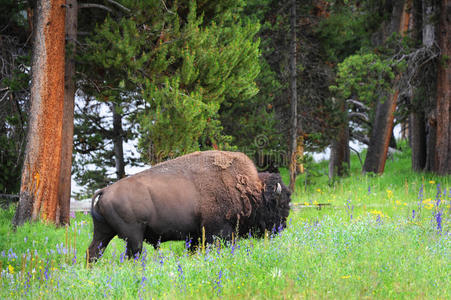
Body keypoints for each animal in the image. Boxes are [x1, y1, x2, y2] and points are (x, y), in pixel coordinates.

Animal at [86, 151, 292, 262]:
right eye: (280, 204)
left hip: (104, 232)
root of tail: (105, 191)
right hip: (133, 236)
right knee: (132, 255)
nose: (282, 227)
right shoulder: (217, 232)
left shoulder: (195, 236)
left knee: (93, 252)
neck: (247, 189)